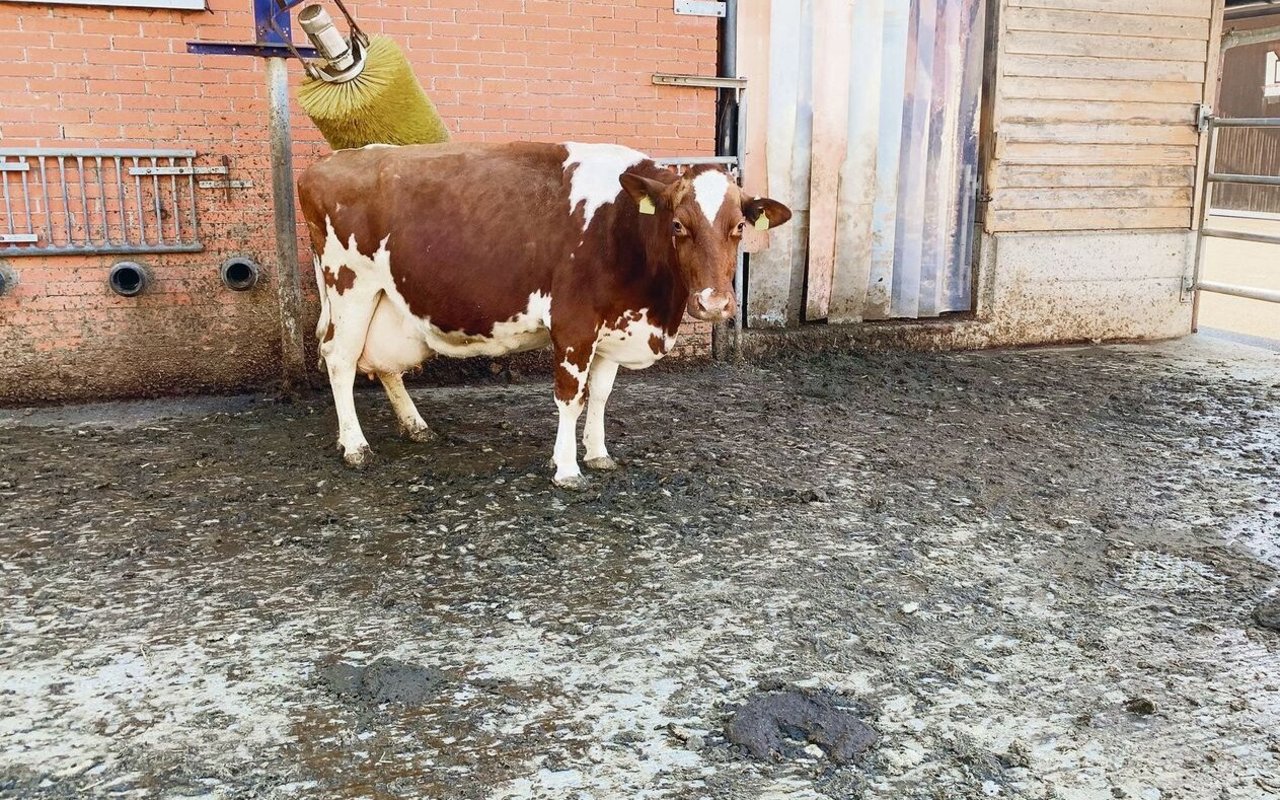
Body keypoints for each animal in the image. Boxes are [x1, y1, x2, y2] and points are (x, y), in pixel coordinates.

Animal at [295, 141, 788, 486]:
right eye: (678, 225)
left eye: (739, 227)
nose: (714, 303)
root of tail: (329, 163)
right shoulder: (574, 323)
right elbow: (570, 397)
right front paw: (567, 467)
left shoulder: (613, 325)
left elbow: (600, 395)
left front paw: (597, 453)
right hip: (350, 284)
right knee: (340, 358)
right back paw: (355, 445)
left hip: (387, 300)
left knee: (381, 365)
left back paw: (415, 426)